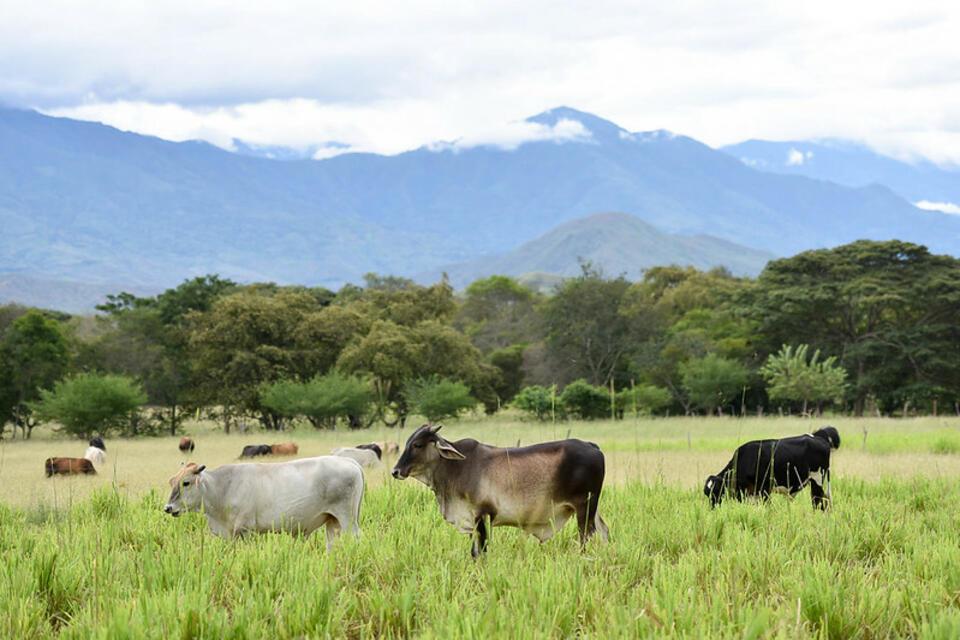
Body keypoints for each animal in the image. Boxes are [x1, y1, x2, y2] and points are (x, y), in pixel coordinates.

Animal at [163, 459, 364, 548]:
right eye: (171, 481)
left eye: (186, 482)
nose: (168, 508)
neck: (222, 488)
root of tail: (350, 461)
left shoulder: (246, 531)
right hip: (332, 522)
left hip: (347, 519)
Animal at [392, 424, 609, 557]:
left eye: (417, 444)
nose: (395, 471)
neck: (455, 467)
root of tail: (592, 446)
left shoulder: (481, 515)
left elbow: (480, 551)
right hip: (593, 508)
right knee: (604, 531)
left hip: (584, 507)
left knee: (585, 537)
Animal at [704, 426, 841, 510]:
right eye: (706, 493)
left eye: (716, 491)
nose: (712, 509)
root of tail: (818, 438)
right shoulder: (750, 493)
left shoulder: (764, 489)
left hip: (817, 479)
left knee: (818, 502)